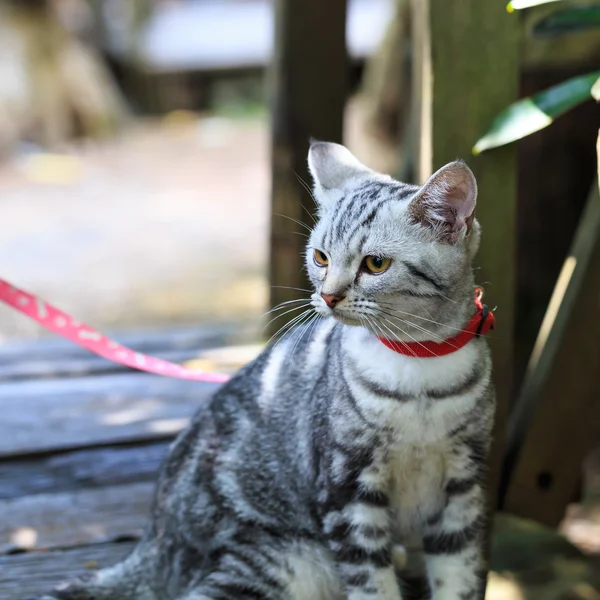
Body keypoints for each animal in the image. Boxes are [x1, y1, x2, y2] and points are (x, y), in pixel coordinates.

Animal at [30, 142, 494, 600]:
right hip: (286, 561)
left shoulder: (464, 486)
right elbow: (371, 584)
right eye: (321, 258)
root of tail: (153, 541)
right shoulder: (345, 488)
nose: (328, 296)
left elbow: (459, 576)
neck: (420, 372)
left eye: (375, 264)